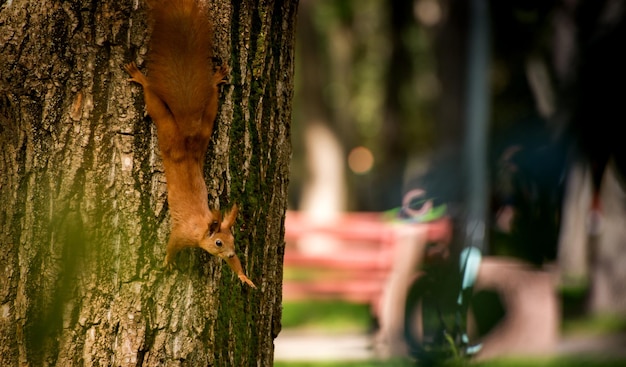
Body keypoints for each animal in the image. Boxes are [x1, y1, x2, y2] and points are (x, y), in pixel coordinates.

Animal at [123, 0, 252, 288]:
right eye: (218, 242)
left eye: (233, 240)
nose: (231, 253)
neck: (203, 225)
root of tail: (186, 135)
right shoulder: (182, 233)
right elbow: (172, 246)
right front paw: (168, 262)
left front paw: (243, 275)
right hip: (167, 130)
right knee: (156, 103)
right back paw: (141, 77)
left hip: (204, 132)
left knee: (210, 105)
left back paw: (215, 79)